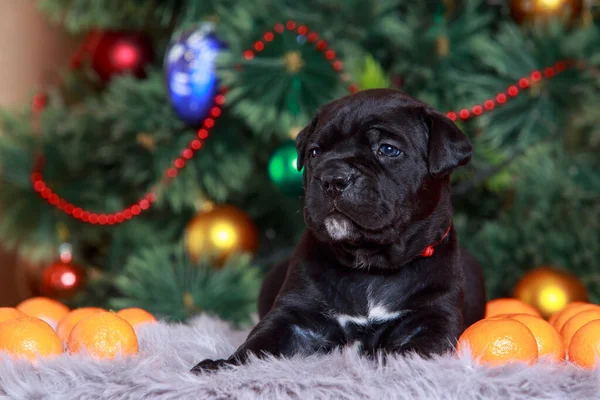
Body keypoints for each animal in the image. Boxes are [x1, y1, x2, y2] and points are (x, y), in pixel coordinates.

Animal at [190, 89, 486, 374]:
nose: (332, 178)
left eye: (388, 150)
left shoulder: (434, 320)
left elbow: (411, 353)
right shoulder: (294, 318)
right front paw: (223, 366)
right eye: (315, 152)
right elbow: (257, 344)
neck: (371, 266)